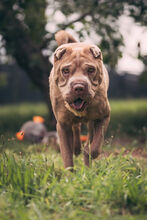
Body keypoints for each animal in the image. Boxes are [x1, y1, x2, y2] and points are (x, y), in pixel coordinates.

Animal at [49, 30, 110, 169]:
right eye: (66, 70)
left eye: (91, 70)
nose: (78, 87)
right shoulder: (62, 125)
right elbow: (67, 155)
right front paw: (69, 173)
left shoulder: (103, 116)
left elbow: (96, 144)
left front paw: (89, 153)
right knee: (76, 127)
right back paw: (76, 148)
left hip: (91, 122)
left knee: (88, 136)